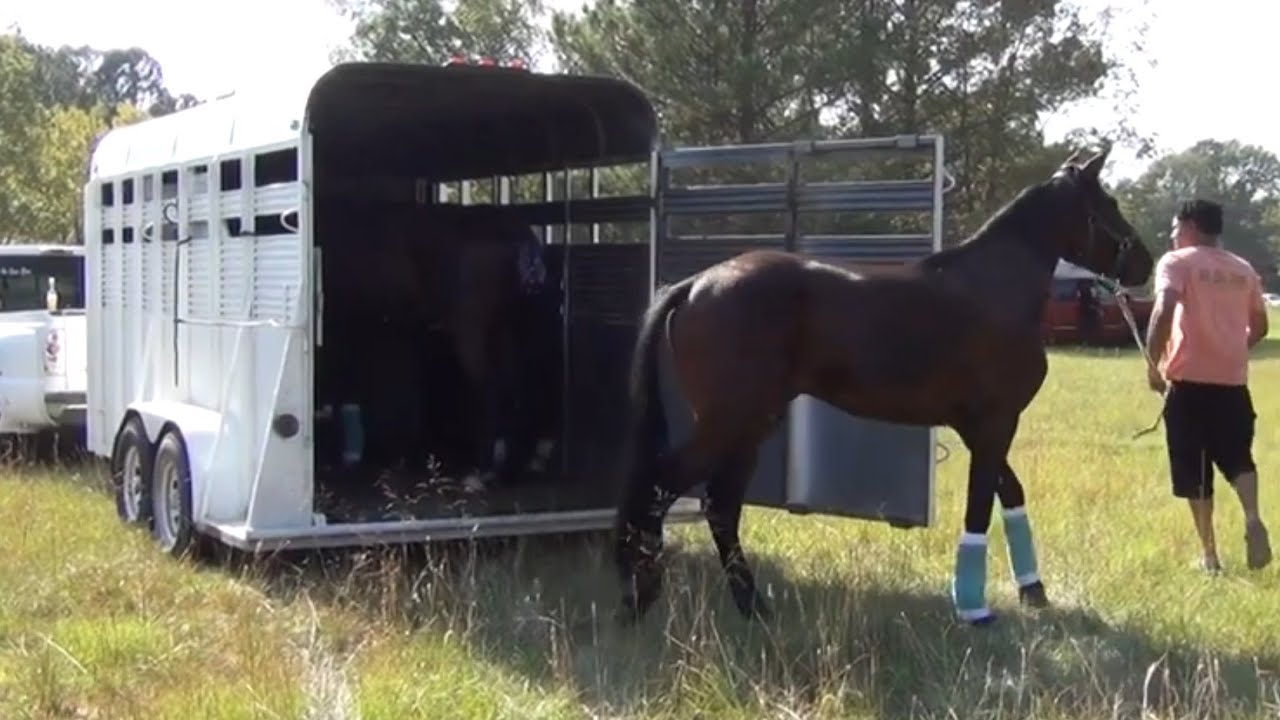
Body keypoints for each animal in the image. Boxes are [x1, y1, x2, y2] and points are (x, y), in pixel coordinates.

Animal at [612, 146, 1154, 626]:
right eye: (1108, 204)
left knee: (720, 505)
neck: (993, 289)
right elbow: (981, 506)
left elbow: (1009, 492)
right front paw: (974, 608)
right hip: (730, 422)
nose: (1145, 263)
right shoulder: (995, 421)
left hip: (749, 426)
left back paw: (750, 606)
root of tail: (696, 284)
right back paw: (643, 595)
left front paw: (1032, 591)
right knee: (665, 485)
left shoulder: (977, 426)